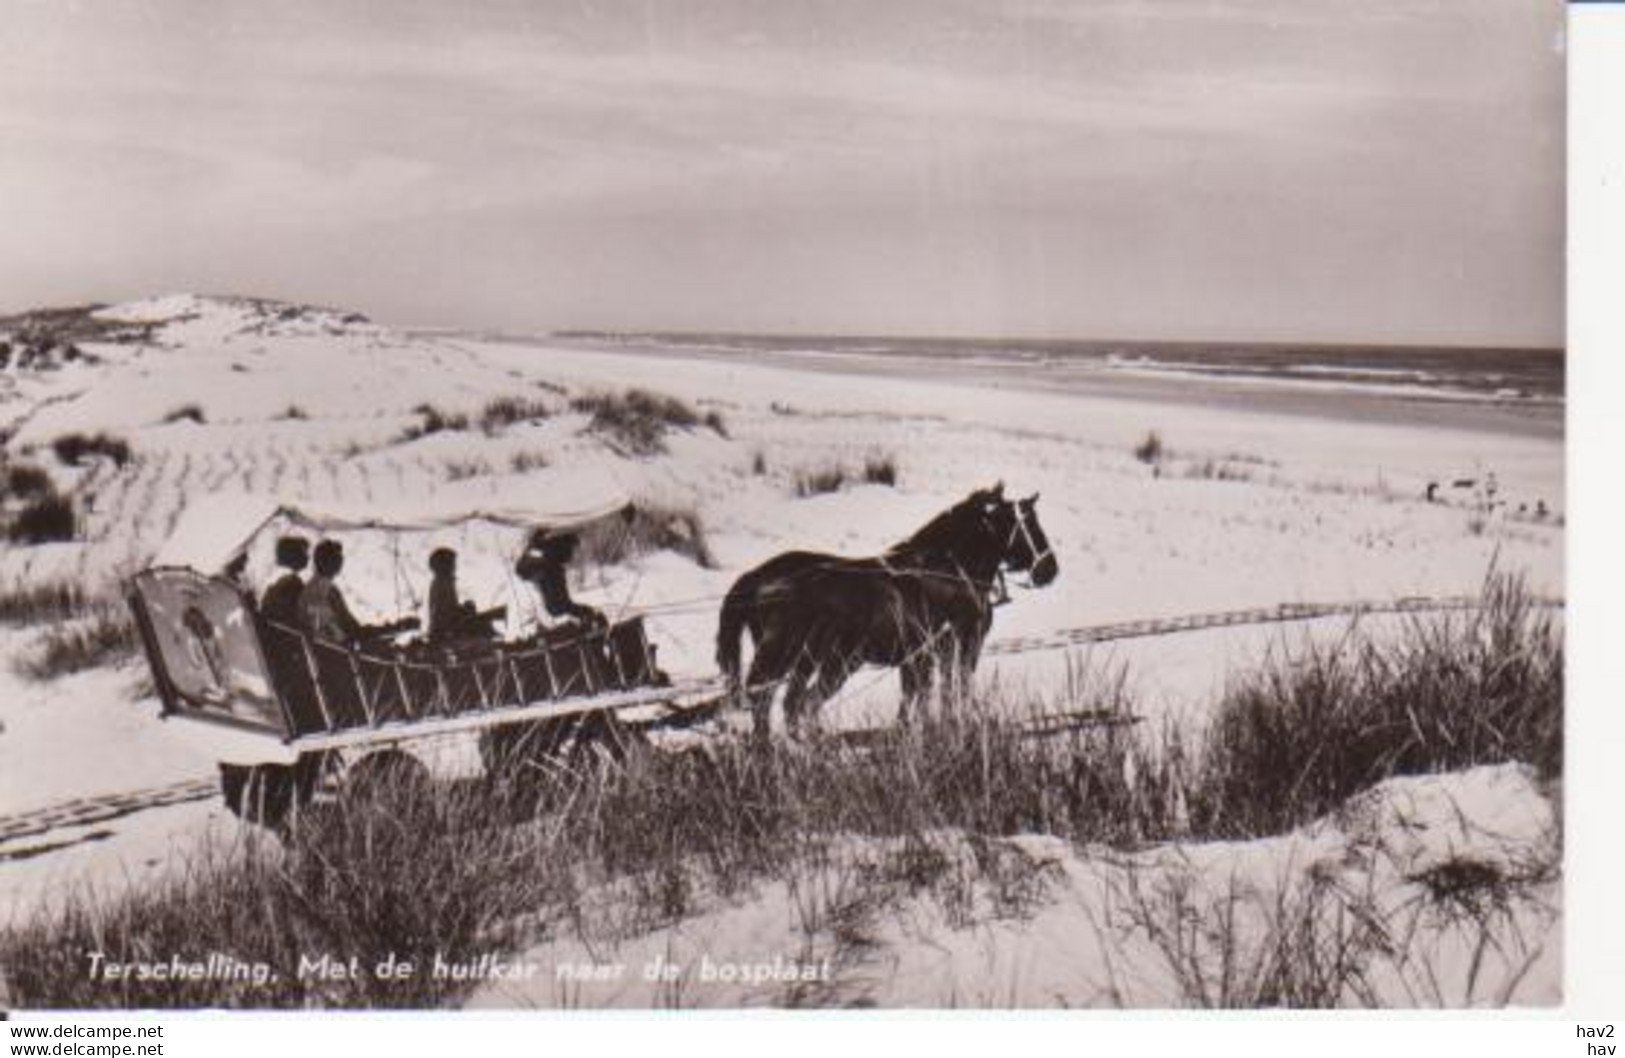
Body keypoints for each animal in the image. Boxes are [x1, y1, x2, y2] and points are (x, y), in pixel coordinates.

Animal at [718, 487, 1059, 741]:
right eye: (1030, 524)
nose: (1049, 568)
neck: (944, 573)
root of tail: (758, 576)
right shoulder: (960, 645)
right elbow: (954, 690)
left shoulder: (918, 658)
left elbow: (917, 701)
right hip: (807, 658)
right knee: (779, 701)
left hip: (807, 661)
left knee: (785, 703)